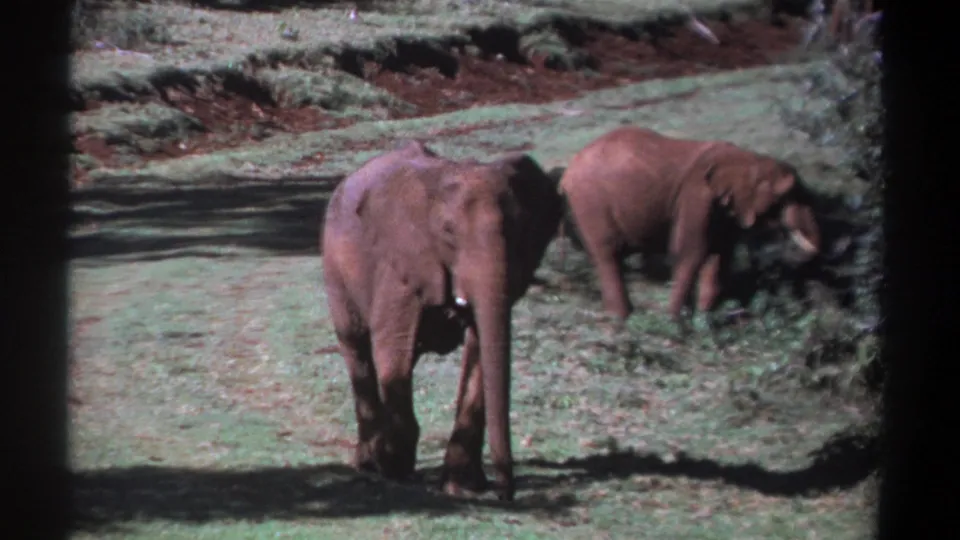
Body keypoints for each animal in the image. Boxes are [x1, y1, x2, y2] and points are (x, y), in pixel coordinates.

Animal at [320, 139, 564, 501]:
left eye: (520, 231)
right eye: (448, 232)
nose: (505, 494)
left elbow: (480, 352)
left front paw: (461, 487)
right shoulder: (401, 266)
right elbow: (392, 347)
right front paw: (395, 467)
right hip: (334, 267)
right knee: (357, 348)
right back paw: (369, 463)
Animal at [558, 126, 821, 323]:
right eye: (786, 195)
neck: (748, 159)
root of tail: (568, 170)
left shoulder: (725, 208)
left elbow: (720, 256)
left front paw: (706, 318)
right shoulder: (696, 195)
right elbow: (692, 251)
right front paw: (675, 321)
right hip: (591, 201)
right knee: (607, 253)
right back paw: (621, 317)